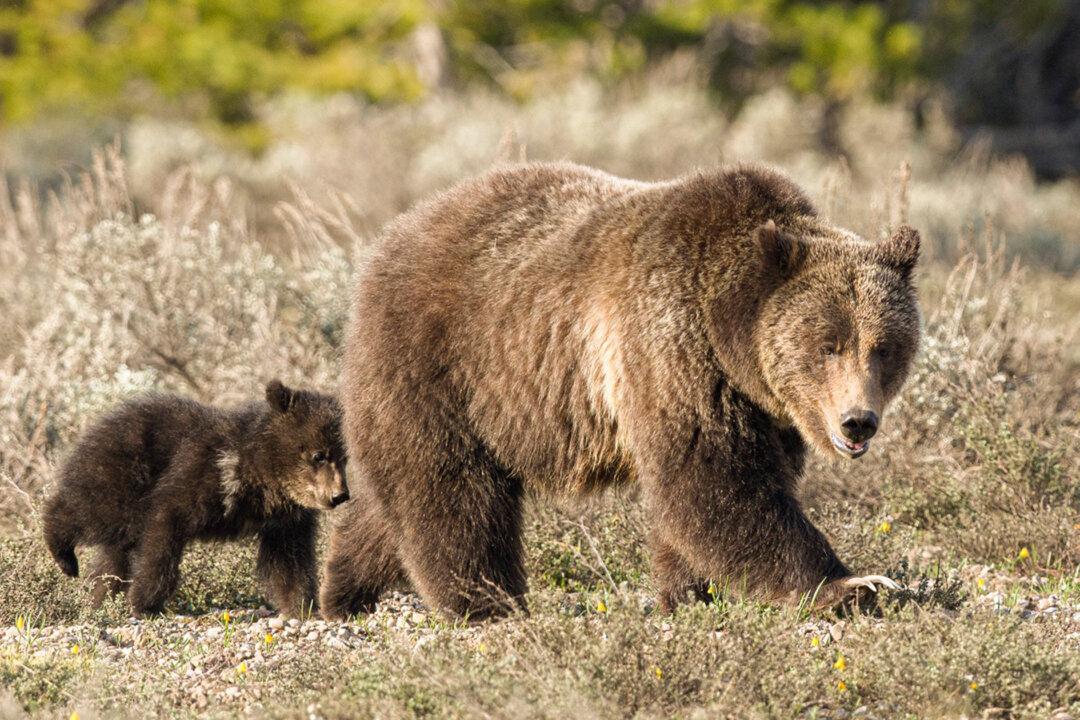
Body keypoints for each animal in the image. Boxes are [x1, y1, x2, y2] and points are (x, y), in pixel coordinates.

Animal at [43, 380, 349, 617]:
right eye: (319, 455)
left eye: (344, 457)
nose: (340, 495)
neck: (259, 476)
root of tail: (98, 422)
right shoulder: (199, 476)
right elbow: (162, 536)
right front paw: (144, 602)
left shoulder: (285, 520)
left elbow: (290, 561)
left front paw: (303, 606)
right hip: (124, 476)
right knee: (93, 512)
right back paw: (65, 556)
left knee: (114, 557)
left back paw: (102, 599)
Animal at [318, 161, 919, 620]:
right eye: (828, 344)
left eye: (884, 347)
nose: (857, 420)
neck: (728, 335)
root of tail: (388, 239)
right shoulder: (670, 349)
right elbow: (716, 482)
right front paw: (853, 585)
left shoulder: (763, 408)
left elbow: (719, 492)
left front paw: (688, 593)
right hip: (443, 362)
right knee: (450, 489)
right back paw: (485, 602)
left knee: (396, 499)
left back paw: (344, 590)